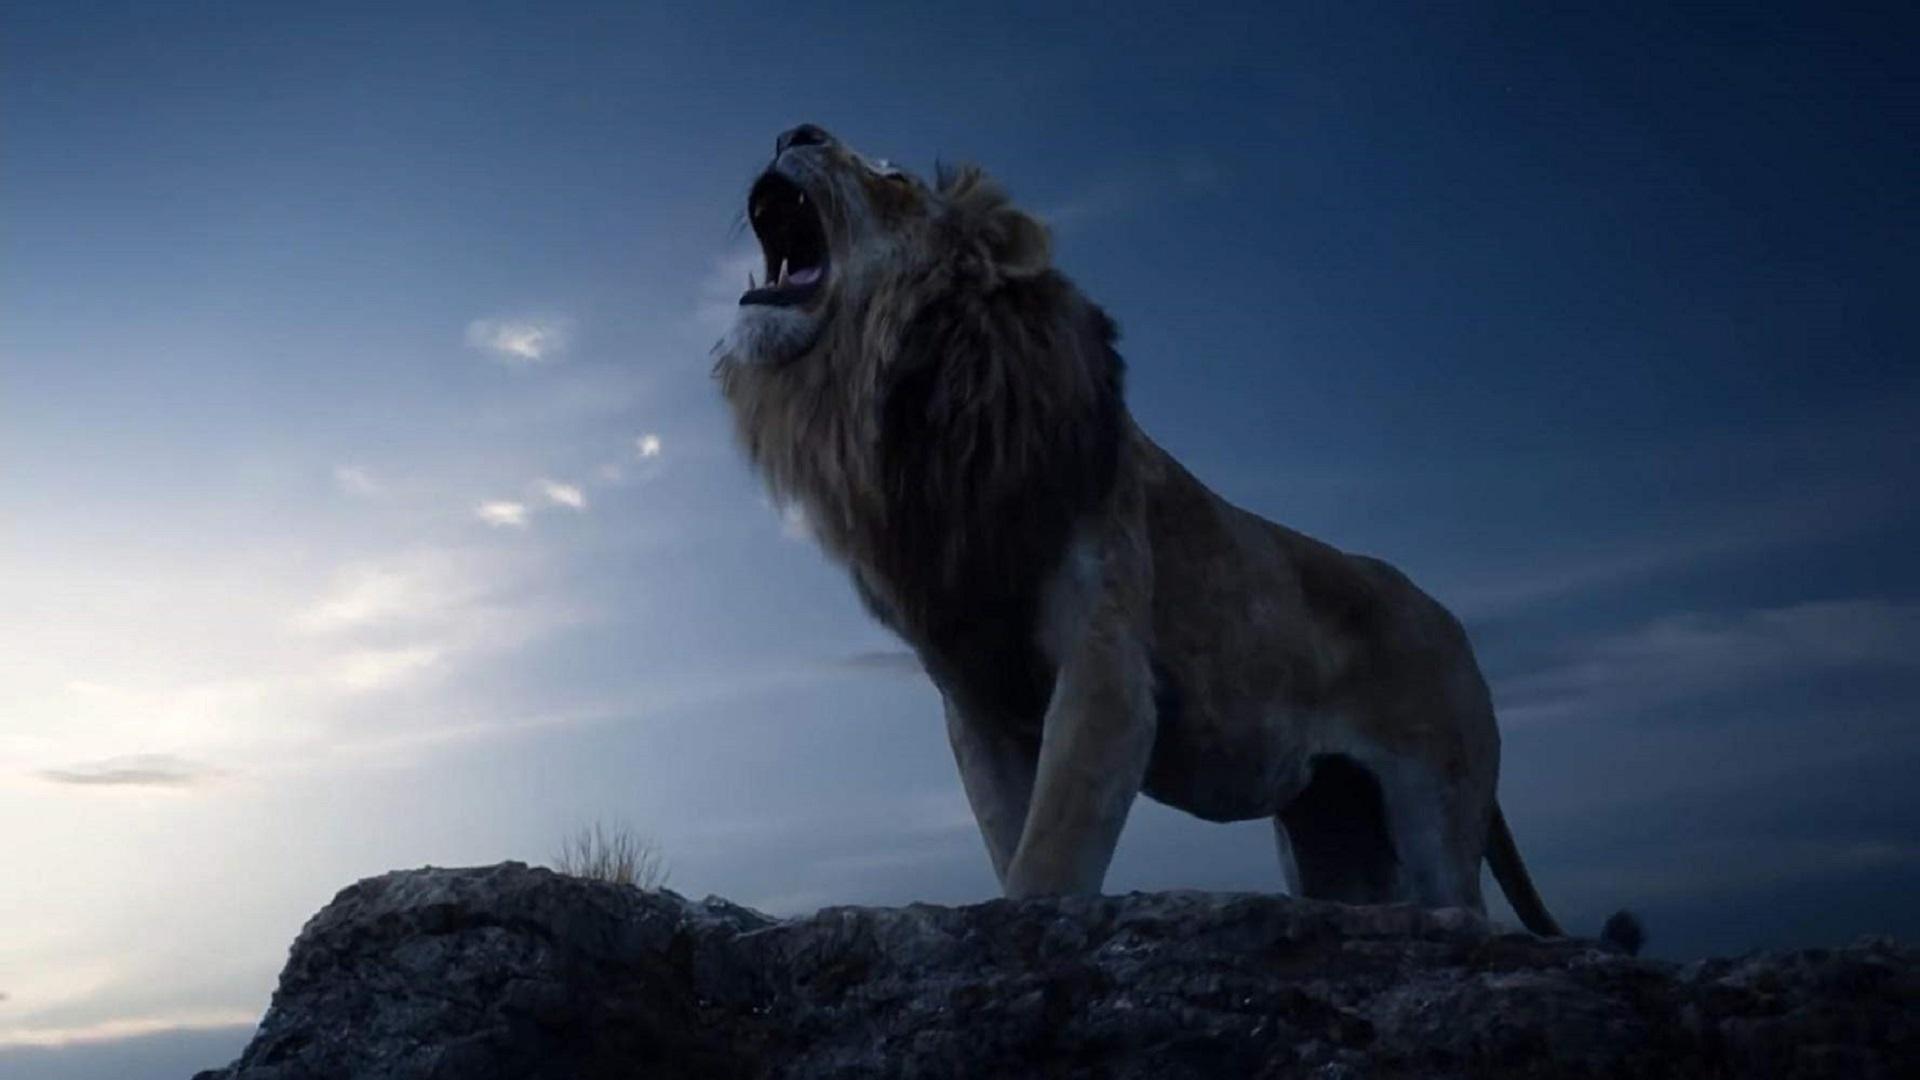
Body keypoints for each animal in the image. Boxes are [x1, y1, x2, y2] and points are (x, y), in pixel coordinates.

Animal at [715, 123, 1633, 947]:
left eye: (894, 176)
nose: (794, 130)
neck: (904, 406)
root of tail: (1450, 620)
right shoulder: (977, 705)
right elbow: (1011, 839)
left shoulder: (1108, 673)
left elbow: (1049, 856)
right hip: (1333, 831)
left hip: (1437, 809)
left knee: (1464, 908)